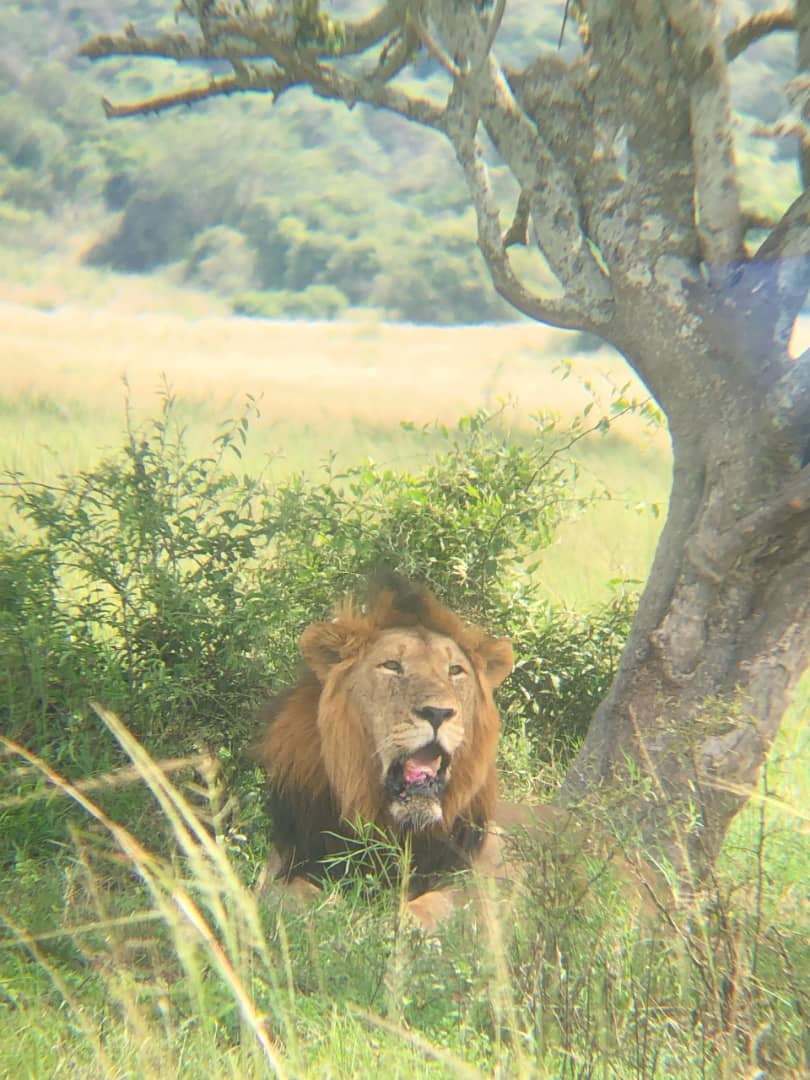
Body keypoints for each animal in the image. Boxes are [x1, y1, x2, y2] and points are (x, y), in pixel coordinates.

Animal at [254, 576, 514, 925]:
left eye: (455, 671)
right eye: (392, 666)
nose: (438, 713)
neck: (393, 827)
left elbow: (446, 904)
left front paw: (400, 920)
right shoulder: (285, 863)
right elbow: (291, 895)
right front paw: (333, 910)